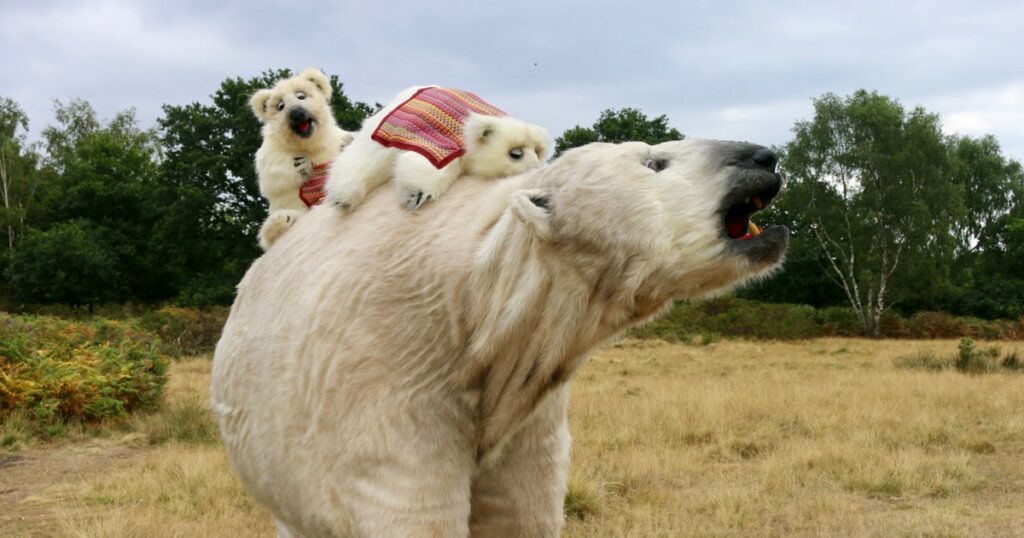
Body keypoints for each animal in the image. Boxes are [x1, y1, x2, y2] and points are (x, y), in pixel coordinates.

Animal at [212, 139, 788, 537]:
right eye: (655, 162)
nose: (765, 156)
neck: (475, 307)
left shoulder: (530, 416)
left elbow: (519, 512)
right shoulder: (382, 377)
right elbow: (410, 511)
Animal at [250, 67, 355, 250]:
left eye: (301, 96)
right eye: (280, 106)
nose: (297, 113)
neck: (309, 144)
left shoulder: (332, 140)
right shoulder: (272, 151)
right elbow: (272, 175)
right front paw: (300, 164)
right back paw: (280, 221)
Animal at [324, 85, 549, 212]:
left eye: (537, 152)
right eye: (516, 153)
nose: (536, 170)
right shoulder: (442, 140)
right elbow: (430, 164)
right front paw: (416, 195)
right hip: (387, 123)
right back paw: (341, 196)